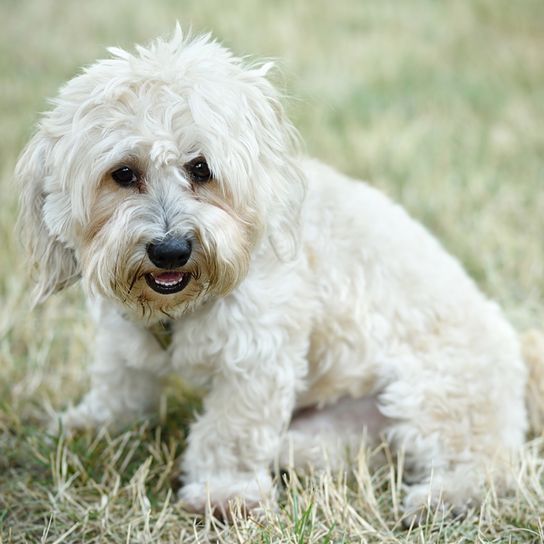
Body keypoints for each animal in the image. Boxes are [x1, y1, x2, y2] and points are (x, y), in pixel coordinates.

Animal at [15, 29, 532, 524]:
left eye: (200, 168)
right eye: (123, 173)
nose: (170, 251)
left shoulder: (256, 359)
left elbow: (231, 432)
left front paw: (223, 493)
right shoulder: (123, 337)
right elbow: (118, 384)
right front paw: (88, 423)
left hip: (437, 395)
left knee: (490, 463)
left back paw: (443, 499)